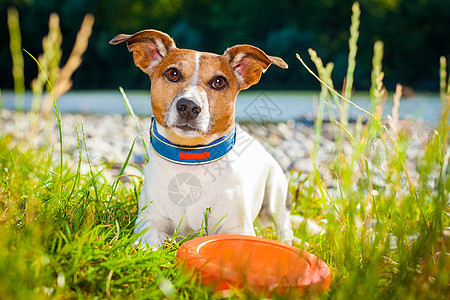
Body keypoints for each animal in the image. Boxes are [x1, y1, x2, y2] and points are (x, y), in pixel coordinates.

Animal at [110, 28, 296, 248]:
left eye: (219, 82)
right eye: (173, 74)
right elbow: (148, 244)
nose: (189, 106)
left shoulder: (239, 229)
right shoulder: (149, 224)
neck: (191, 158)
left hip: (277, 191)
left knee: (284, 226)